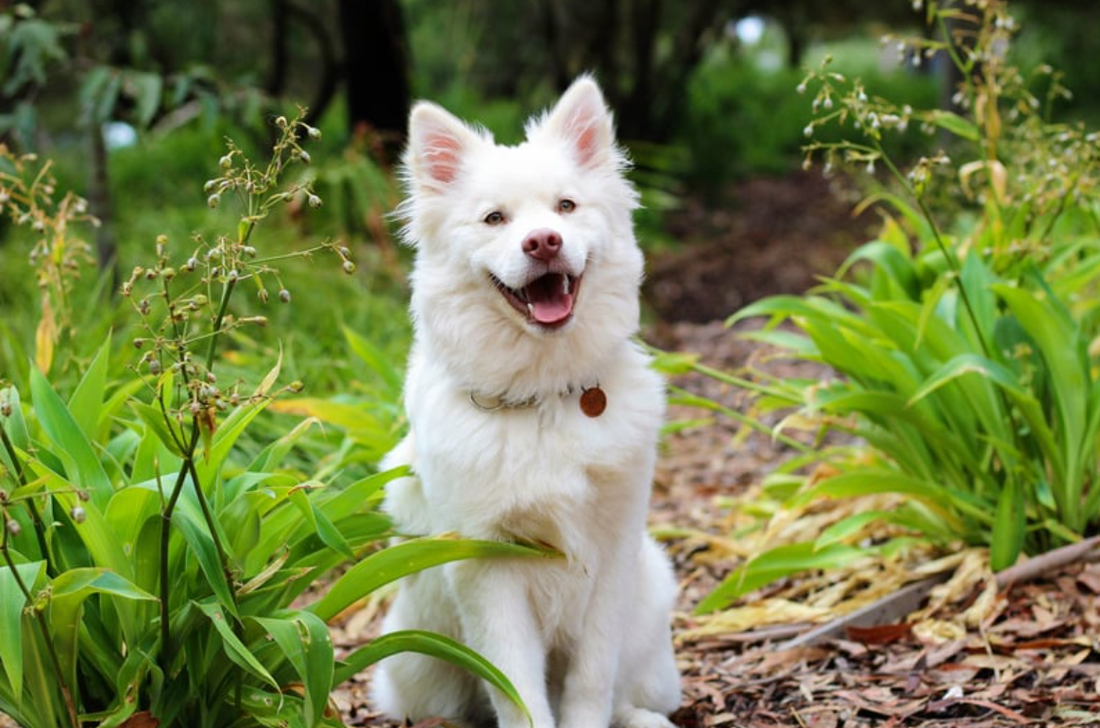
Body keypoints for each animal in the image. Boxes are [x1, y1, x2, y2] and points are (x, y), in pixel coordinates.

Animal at [374, 75, 682, 728]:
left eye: (565, 207)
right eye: (495, 219)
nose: (543, 242)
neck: (543, 396)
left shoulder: (612, 555)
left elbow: (592, 681)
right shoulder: (488, 569)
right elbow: (517, 690)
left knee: (628, 694)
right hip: (415, 661)